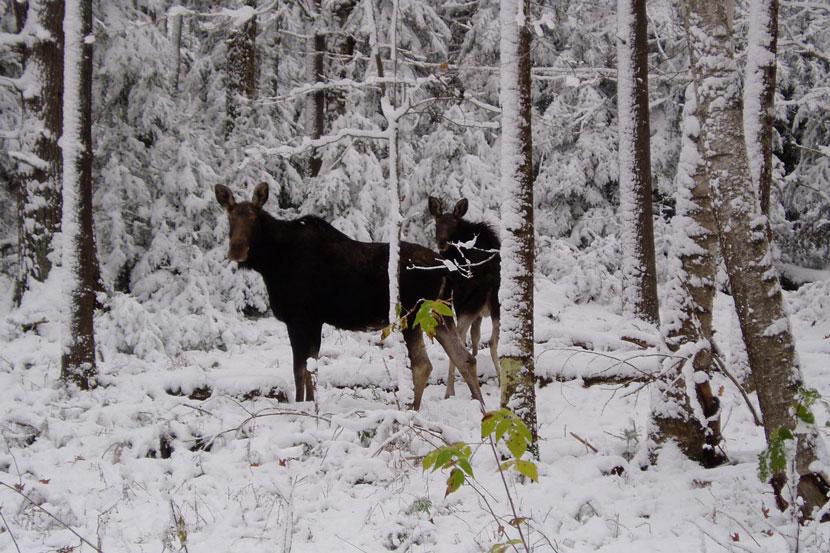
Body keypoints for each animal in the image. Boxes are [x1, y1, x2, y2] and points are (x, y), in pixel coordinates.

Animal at [216, 183, 488, 408]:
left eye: (253, 218)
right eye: (229, 217)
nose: (236, 249)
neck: (271, 264)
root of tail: (446, 269)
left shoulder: (301, 318)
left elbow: (301, 370)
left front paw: (303, 407)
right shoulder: (311, 321)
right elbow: (308, 368)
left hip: (412, 313)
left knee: (423, 365)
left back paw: (414, 409)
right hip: (440, 314)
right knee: (465, 358)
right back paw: (482, 409)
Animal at [428, 196, 500, 394]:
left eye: (453, 223)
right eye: (437, 222)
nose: (442, 242)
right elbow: (476, 338)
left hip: (470, 302)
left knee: (460, 340)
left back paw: (450, 391)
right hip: (491, 303)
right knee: (491, 340)